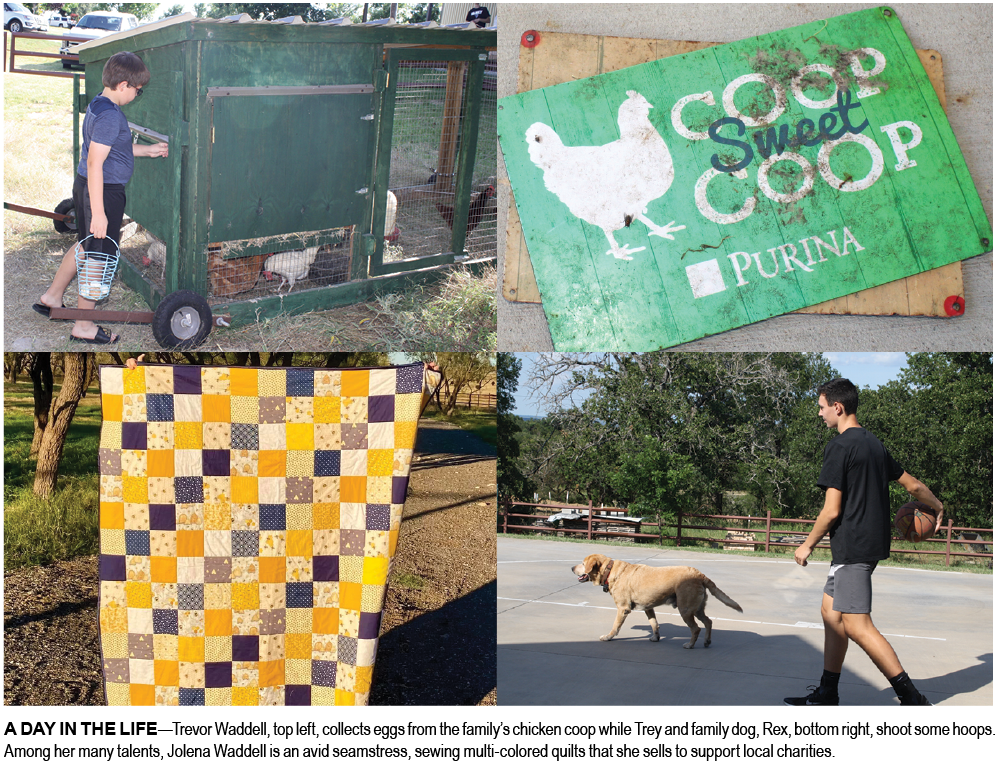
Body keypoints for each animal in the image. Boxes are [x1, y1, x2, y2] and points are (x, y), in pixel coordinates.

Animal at [576, 552, 740, 648]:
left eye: (583, 564)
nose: (572, 568)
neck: (610, 571)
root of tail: (700, 574)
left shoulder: (623, 609)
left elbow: (615, 626)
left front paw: (608, 637)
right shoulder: (649, 608)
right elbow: (654, 623)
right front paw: (656, 637)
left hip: (686, 610)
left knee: (696, 628)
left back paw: (690, 645)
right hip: (697, 608)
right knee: (708, 622)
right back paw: (707, 641)